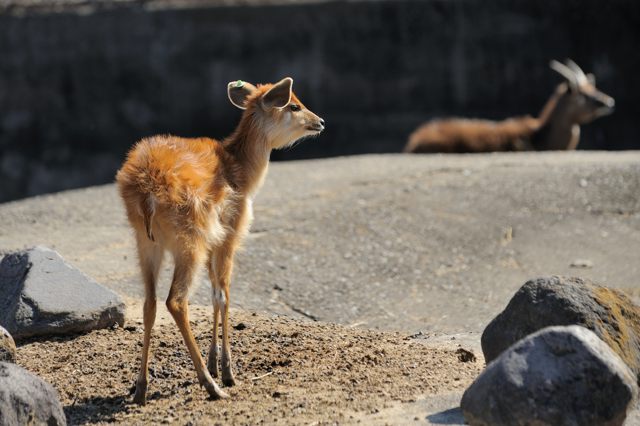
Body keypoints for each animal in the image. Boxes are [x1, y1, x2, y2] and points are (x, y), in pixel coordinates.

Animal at [117, 77, 324, 402]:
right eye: (294, 105)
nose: (321, 122)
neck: (242, 174)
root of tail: (146, 192)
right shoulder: (230, 234)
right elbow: (223, 294)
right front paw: (226, 372)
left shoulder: (213, 241)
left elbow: (215, 293)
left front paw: (216, 362)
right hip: (189, 240)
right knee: (176, 301)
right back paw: (211, 386)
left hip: (146, 242)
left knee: (150, 303)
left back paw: (141, 389)